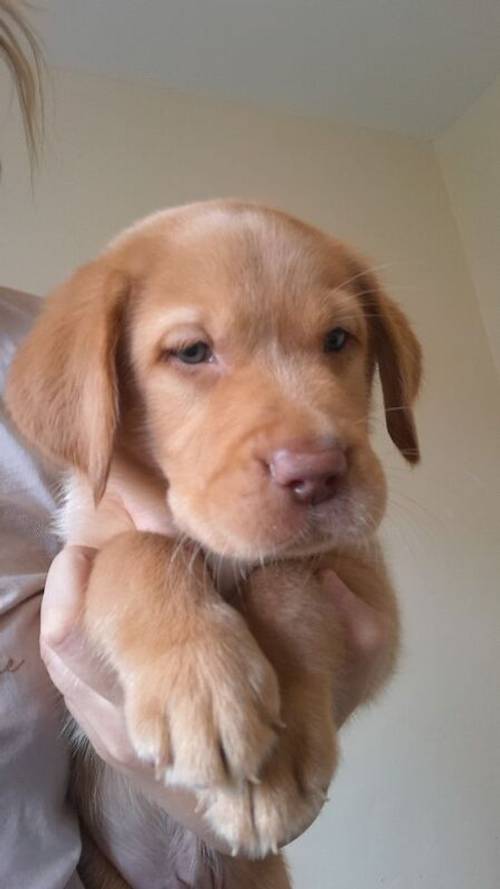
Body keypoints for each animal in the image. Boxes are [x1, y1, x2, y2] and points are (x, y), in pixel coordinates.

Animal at [7, 201, 422, 888]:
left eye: (338, 340)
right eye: (193, 351)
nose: (318, 473)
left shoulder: (365, 579)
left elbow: (286, 580)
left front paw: (277, 760)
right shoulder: (84, 550)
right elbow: (139, 553)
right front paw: (201, 689)